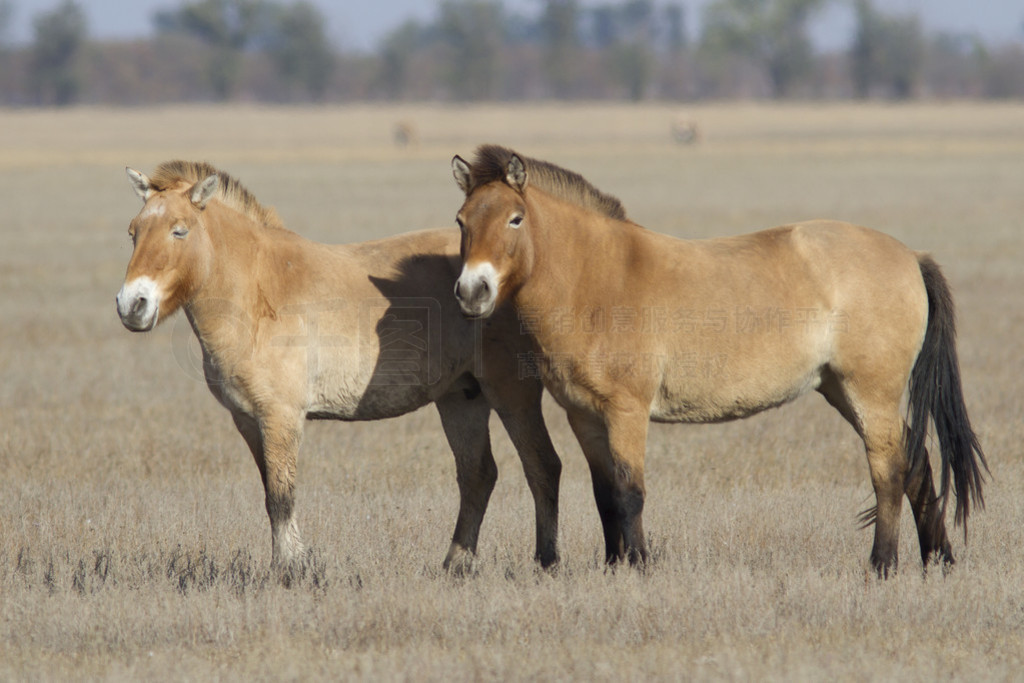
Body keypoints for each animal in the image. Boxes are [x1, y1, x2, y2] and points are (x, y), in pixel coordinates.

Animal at [120, 161, 569, 581]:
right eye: (133, 232)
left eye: (179, 232)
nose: (131, 305)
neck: (258, 291)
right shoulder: (248, 421)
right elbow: (270, 494)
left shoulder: (281, 418)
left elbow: (281, 497)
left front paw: (290, 571)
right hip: (461, 399)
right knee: (478, 475)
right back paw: (456, 565)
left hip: (512, 396)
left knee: (542, 466)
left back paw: (547, 560)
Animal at [452, 144, 987, 577]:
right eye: (461, 221)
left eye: (515, 218)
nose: (472, 291)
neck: (596, 278)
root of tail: (911, 256)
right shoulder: (584, 416)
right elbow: (605, 495)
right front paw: (613, 566)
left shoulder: (627, 412)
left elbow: (629, 492)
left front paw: (639, 567)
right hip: (842, 391)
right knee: (916, 463)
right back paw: (938, 562)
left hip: (870, 393)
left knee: (889, 470)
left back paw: (882, 566)